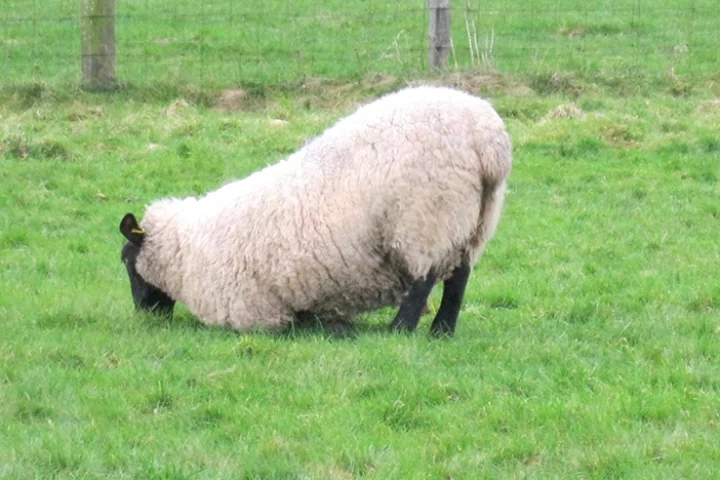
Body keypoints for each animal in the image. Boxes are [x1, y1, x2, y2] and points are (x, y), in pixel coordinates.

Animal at [119, 85, 512, 336]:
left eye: (126, 260)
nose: (143, 314)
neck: (185, 255)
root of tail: (487, 139)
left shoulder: (250, 312)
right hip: (475, 222)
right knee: (459, 278)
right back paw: (441, 331)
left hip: (426, 217)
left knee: (422, 279)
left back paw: (399, 330)